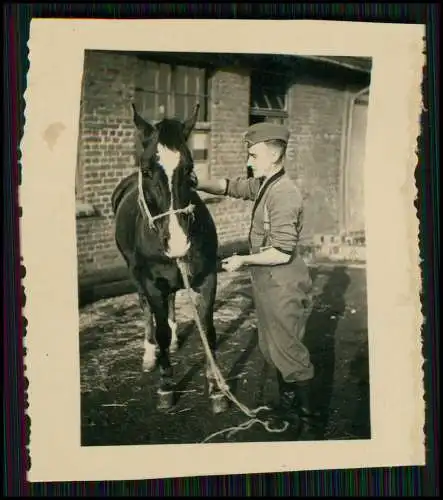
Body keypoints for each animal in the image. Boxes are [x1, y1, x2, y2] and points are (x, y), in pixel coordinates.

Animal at [111, 101, 229, 414]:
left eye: (190, 169)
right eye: (147, 169)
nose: (177, 243)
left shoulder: (206, 278)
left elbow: (208, 331)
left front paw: (216, 389)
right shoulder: (152, 283)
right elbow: (160, 328)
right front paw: (166, 386)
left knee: (173, 300)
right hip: (135, 275)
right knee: (147, 311)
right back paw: (150, 354)